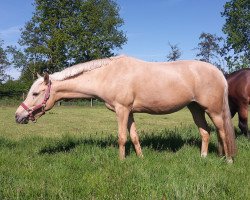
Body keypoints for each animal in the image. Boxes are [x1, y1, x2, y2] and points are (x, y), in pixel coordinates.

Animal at [14, 55, 237, 162]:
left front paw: (121, 162)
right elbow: (134, 136)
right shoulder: (129, 112)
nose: (18, 116)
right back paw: (204, 157)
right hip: (195, 108)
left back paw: (228, 160)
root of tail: (218, 72)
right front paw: (140, 158)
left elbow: (122, 137)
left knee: (223, 132)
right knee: (206, 132)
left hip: (214, 110)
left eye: (35, 94)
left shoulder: (122, 110)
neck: (109, 75)